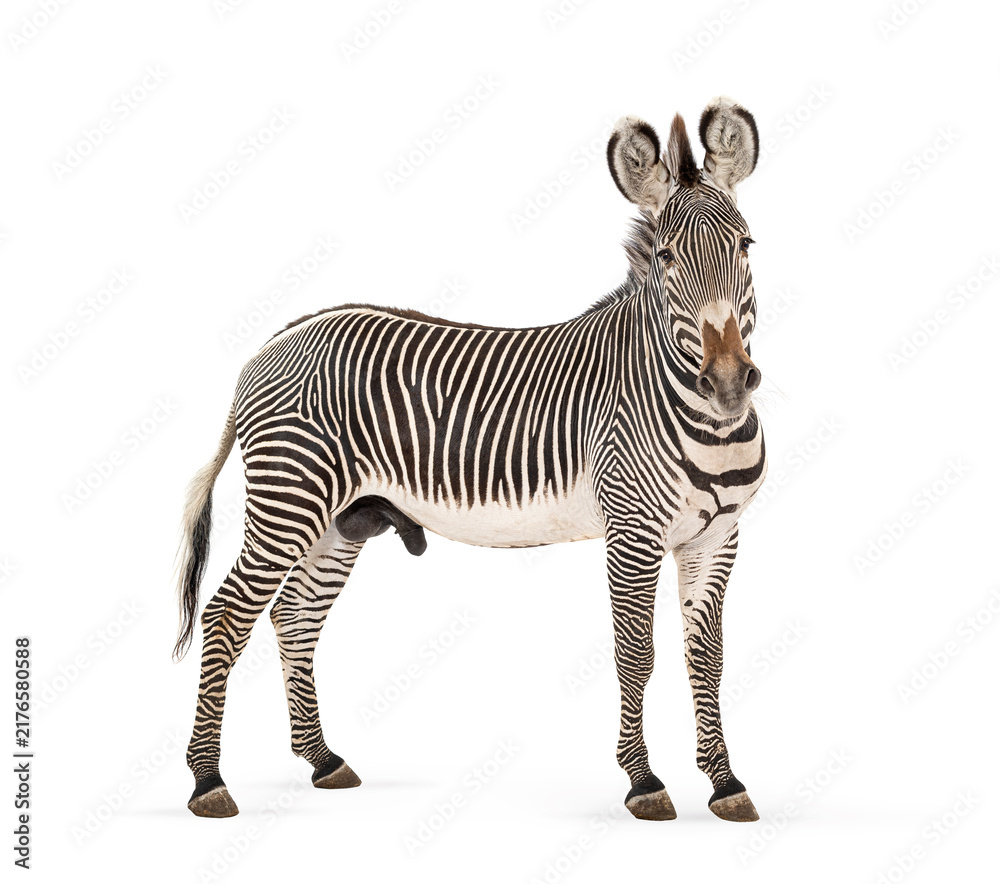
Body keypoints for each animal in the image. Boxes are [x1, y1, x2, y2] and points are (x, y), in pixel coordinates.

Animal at [175, 96, 767, 823]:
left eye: (745, 246)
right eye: (667, 255)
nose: (729, 381)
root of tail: (272, 343)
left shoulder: (717, 537)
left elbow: (705, 658)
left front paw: (725, 782)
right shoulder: (632, 530)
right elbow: (636, 653)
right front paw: (644, 781)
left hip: (340, 519)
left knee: (294, 618)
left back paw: (322, 760)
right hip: (289, 501)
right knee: (228, 615)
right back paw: (208, 781)